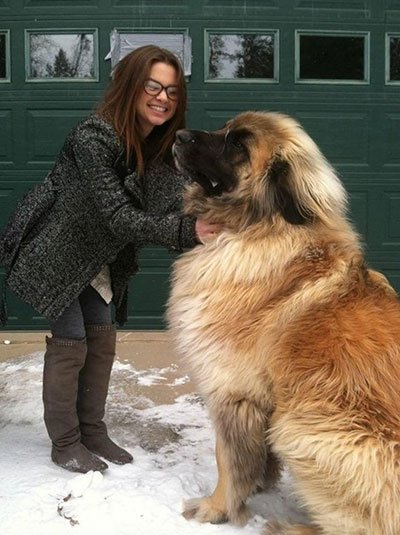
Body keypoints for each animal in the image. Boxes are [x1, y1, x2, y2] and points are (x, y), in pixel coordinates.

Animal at [166, 111, 400, 532]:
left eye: (237, 144)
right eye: (224, 129)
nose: (178, 135)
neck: (260, 226)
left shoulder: (231, 390)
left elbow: (227, 458)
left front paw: (216, 507)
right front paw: (258, 484)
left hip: (301, 425)